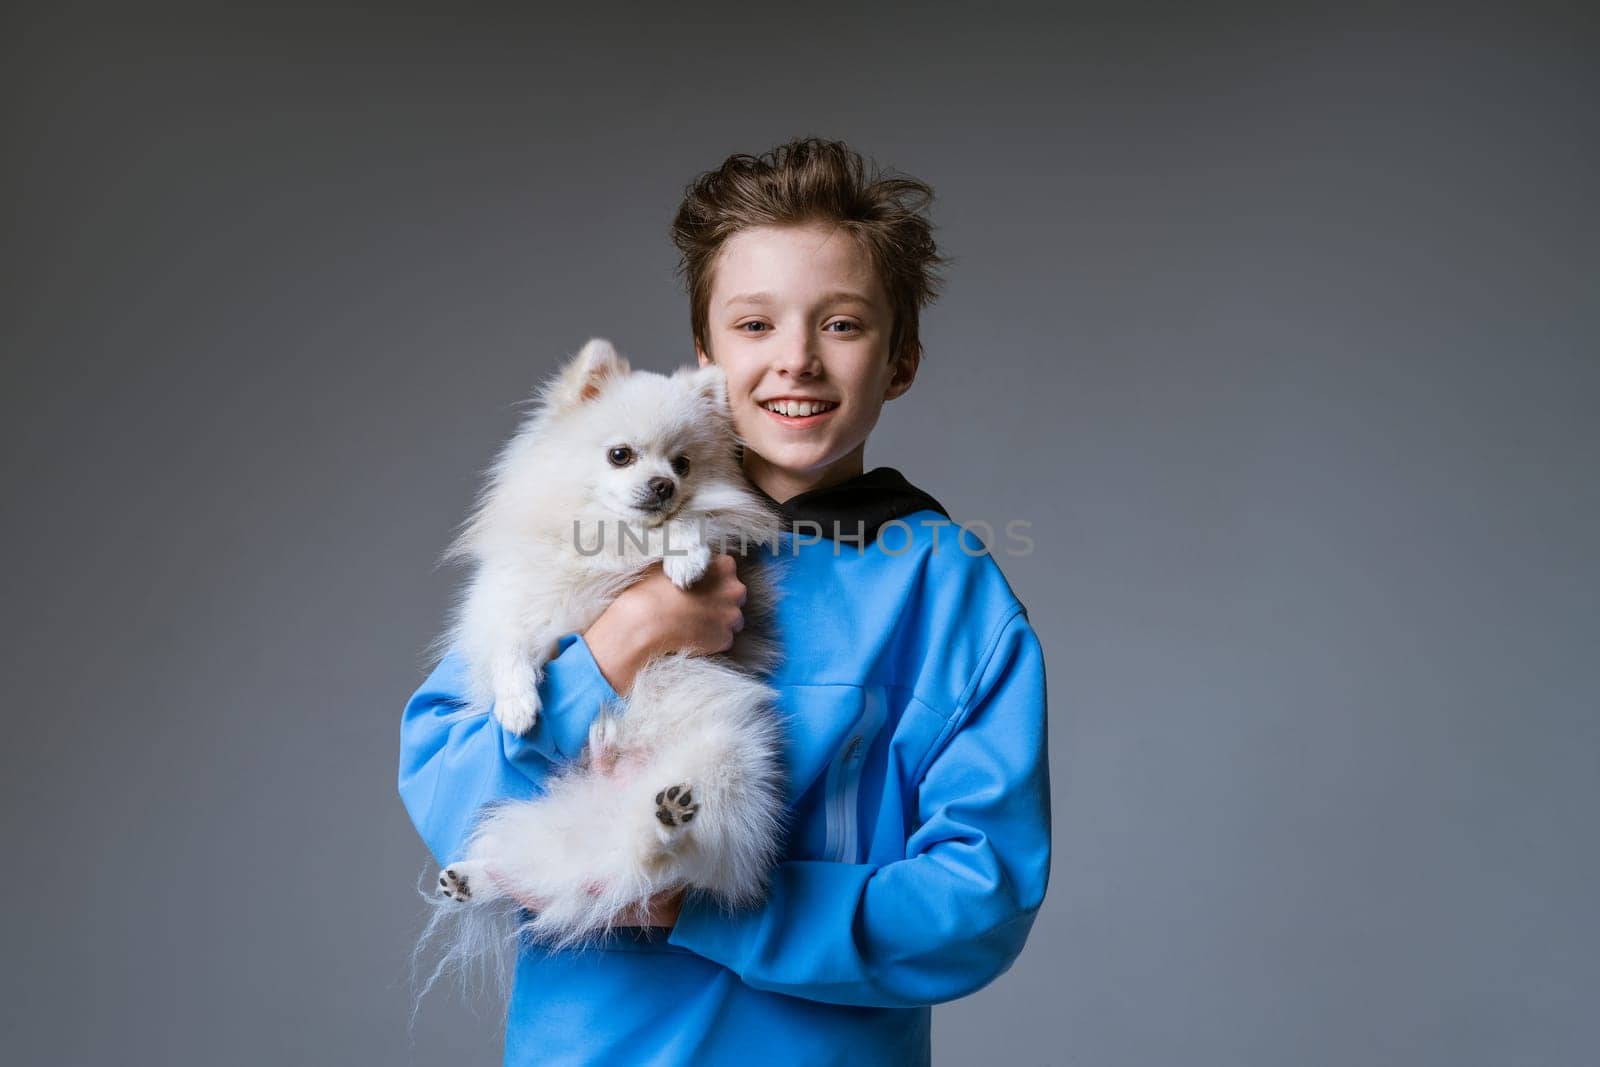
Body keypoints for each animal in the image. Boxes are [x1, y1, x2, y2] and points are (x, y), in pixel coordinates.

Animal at [428, 337, 790, 947]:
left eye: (683, 464)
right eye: (620, 455)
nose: (664, 485)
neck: (609, 535)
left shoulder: (713, 526)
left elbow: (690, 524)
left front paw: (684, 557)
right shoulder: (526, 604)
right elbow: (510, 646)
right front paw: (516, 705)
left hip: (727, 765)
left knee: (671, 858)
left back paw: (666, 821)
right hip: (542, 816)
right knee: (540, 868)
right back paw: (474, 878)